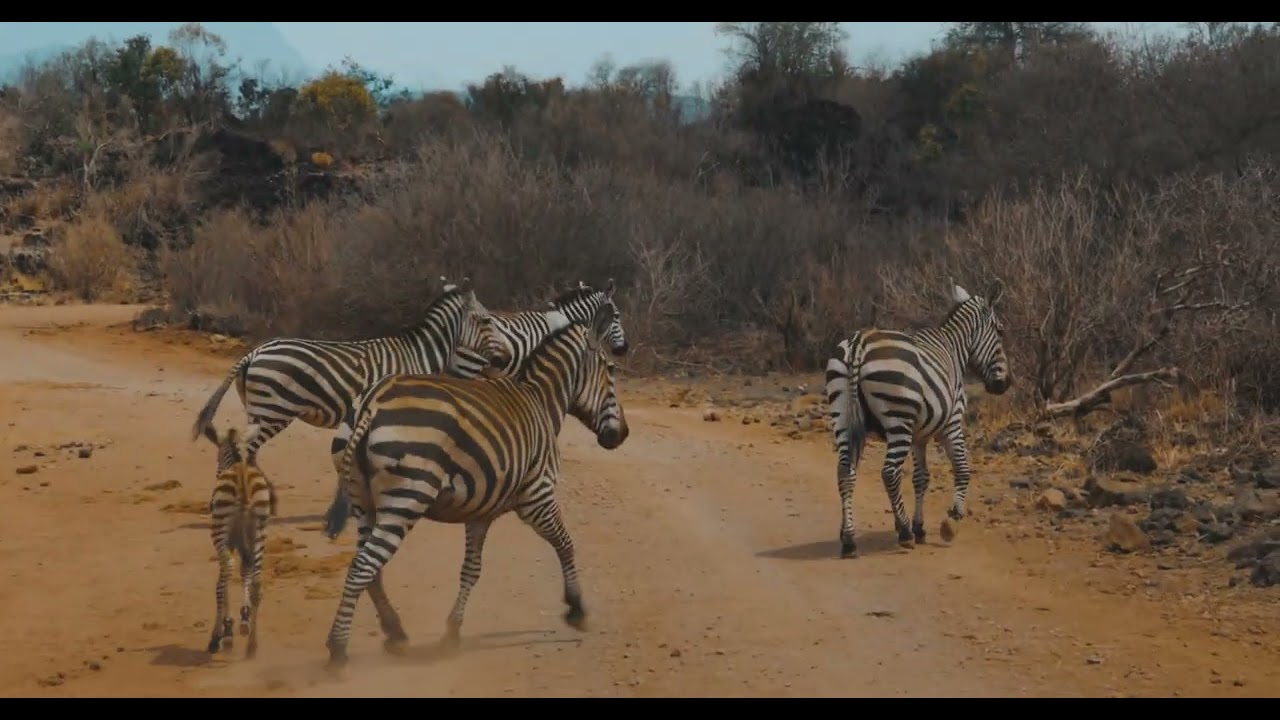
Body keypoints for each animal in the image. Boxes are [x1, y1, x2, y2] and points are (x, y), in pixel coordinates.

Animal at [190, 276, 511, 519]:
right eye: (486, 320)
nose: (505, 359)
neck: (420, 354)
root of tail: (254, 352)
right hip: (273, 411)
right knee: (242, 450)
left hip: (259, 411)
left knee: (237, 449)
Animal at [199, 423, 273, 659]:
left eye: (217, 459)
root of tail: (241, 476)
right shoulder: (244, 542)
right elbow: (246, 572)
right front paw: (245, 618)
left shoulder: (228, 541)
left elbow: (222, 581)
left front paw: (225, 630)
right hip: (259, 531)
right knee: (257, 580)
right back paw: (252, 646)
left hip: (221, 531)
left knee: (226, 573)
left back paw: (220, 637)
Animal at [823, 280, 1012, 559]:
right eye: (1000, 331)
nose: (1004, 384)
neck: (954, 349)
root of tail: (859, 343)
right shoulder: (951, 423)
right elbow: (962, 469)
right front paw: (951, 522)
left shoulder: (919, 436)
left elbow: (921, 478)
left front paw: (920, 527)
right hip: (898, 420)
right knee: (889, 473)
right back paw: (903, 533)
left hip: (843, 416)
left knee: (845, 471)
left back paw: (848, 540)